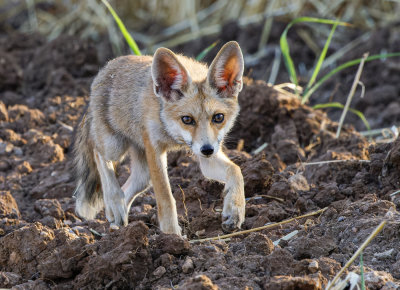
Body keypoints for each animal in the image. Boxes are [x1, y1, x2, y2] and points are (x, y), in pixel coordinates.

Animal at [73, 41, 245, 236]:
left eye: (218, 117)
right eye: (187, 119)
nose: (207, 149)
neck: (171, 134)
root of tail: (105, 68)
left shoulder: (206, 158)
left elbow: (236, 170)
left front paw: (235, 209)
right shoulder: (154, 148)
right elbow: (166, 198)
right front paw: (172, 235)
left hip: (143, 174)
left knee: (131, 186)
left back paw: (117, 218)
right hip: (114, 147)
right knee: (98, 153)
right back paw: (114, 202)